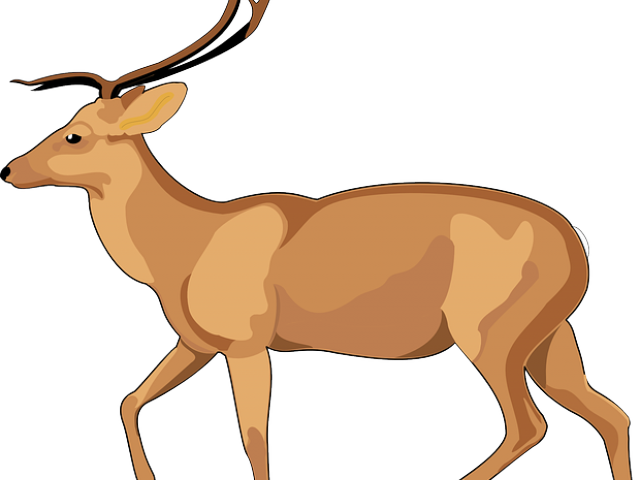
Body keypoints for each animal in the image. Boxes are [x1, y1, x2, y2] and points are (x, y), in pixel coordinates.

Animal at [2, 1, 633, 479]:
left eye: (75, 133)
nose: (11, 169)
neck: (186, 246)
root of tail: (577, 247)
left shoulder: (248, 342)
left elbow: (253, 438)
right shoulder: (197, 343)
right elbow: (130, 400)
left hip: (489, 334)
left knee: (529, 425)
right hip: (551, 337)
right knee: (610, 414)